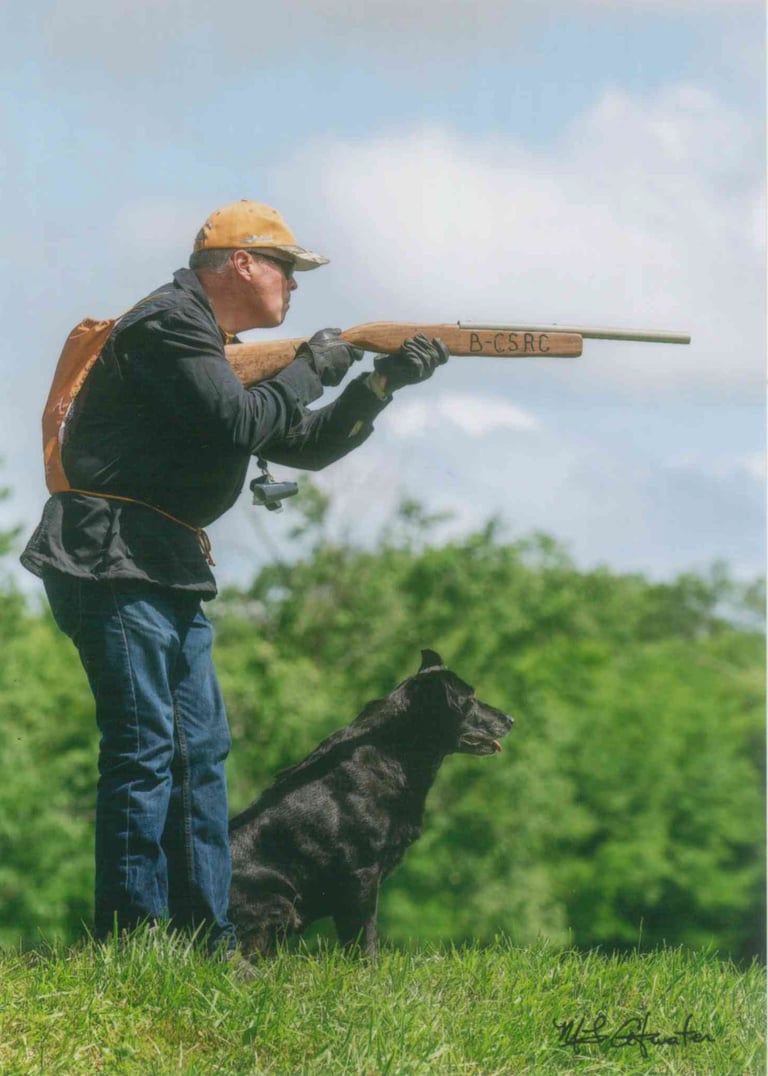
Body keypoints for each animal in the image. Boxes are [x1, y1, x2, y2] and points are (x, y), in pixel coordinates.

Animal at [228, 649, 513, 958]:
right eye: (470, 699)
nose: (511, 719)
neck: (394, 751)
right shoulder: (361, 876)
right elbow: (366, 938)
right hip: (280, 902)